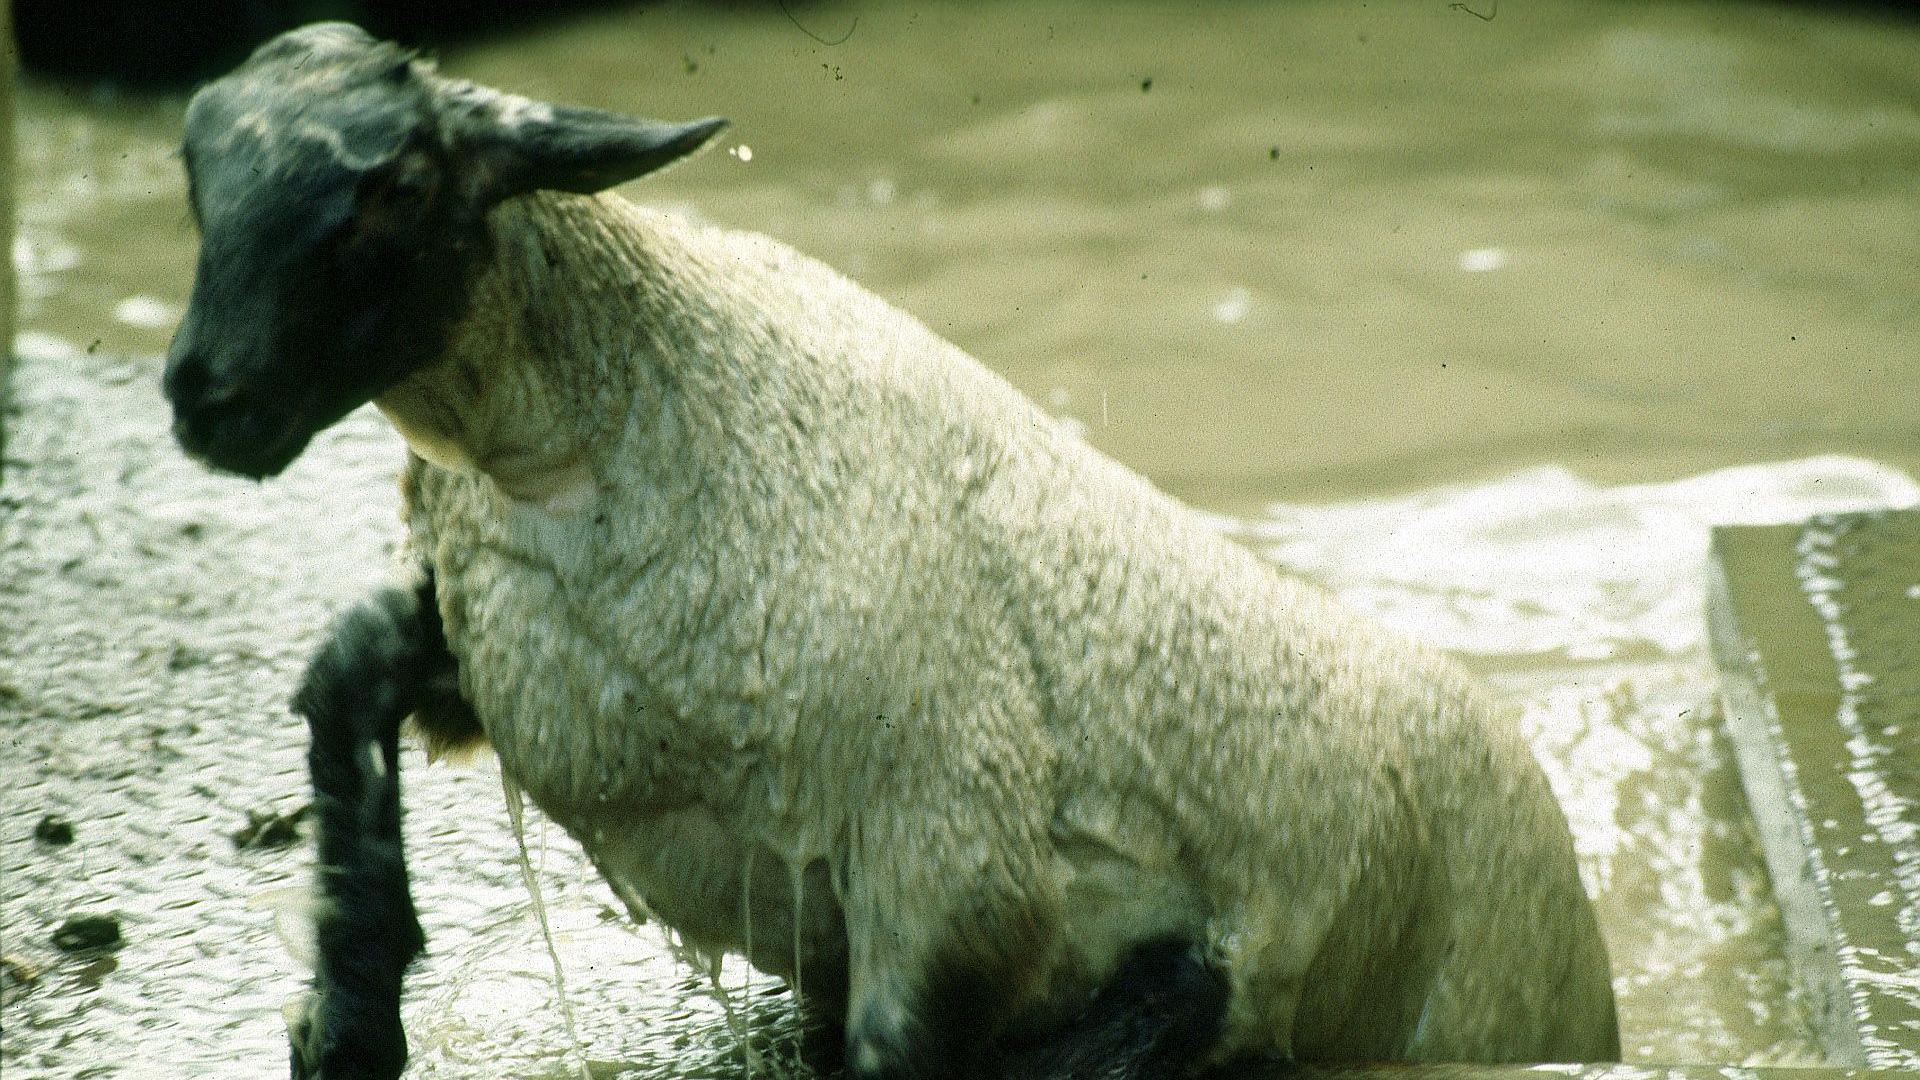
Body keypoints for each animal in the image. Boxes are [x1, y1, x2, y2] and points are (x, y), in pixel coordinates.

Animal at [165, 23, 1612, 1076]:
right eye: (197, 177)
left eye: (397, 188)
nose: (202, 398)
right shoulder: (524, 669)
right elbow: (345, 678)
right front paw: (349, 1018)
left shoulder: (952, 849)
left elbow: (898, 1037)